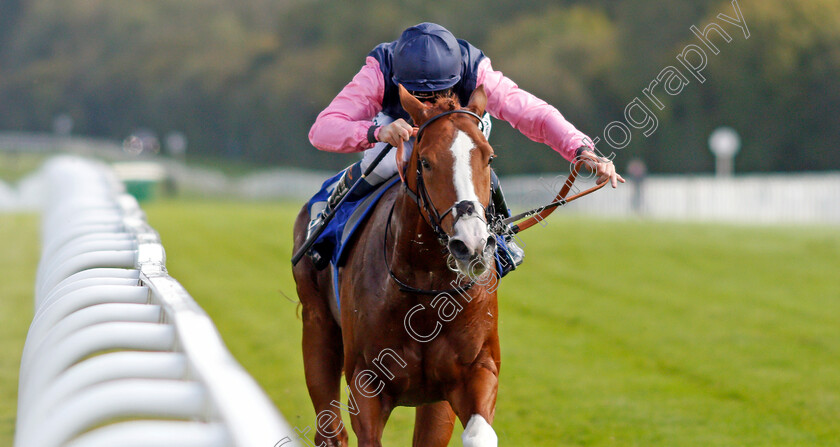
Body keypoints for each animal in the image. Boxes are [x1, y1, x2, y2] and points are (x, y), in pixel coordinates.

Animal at [296, 85, 502, 447]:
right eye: (426, 162)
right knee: (330, 431)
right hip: (317, 324)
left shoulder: (476, 370)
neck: (427, 289)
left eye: (488, 157)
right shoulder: (366, 383)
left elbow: (479, 434)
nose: (472, 244)